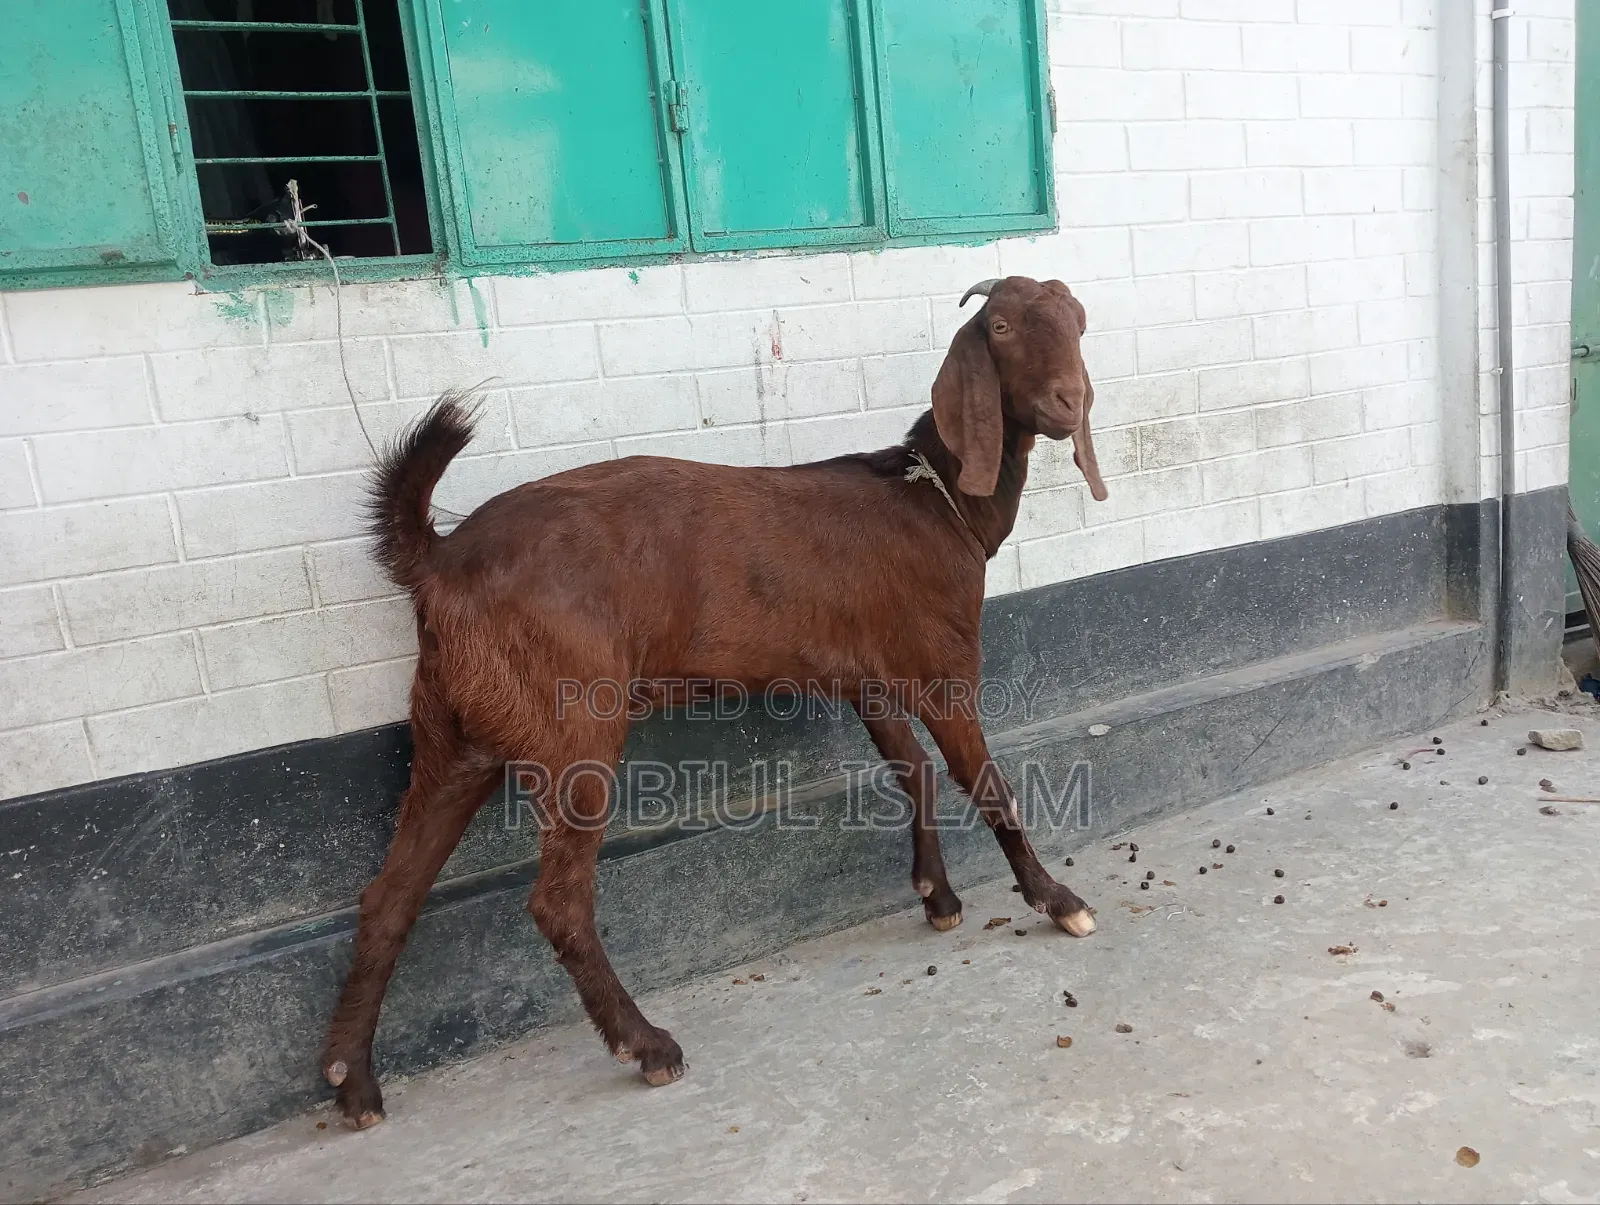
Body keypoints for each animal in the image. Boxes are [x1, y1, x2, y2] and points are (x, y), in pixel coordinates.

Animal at [321, 275, 1109, 1127]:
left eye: (1078, 322)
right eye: (998, 327)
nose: (1069, 400)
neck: (932, 499)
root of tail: (438, 562)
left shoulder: (867, 676)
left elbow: (914, 773)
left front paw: (937, 894)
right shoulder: (942, 665)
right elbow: (986, 783)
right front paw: (1057, 899)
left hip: (453, 732)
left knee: (389, 896)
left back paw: (352, 1079)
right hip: (573, 723)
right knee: (557, 900)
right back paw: (646, 1044)